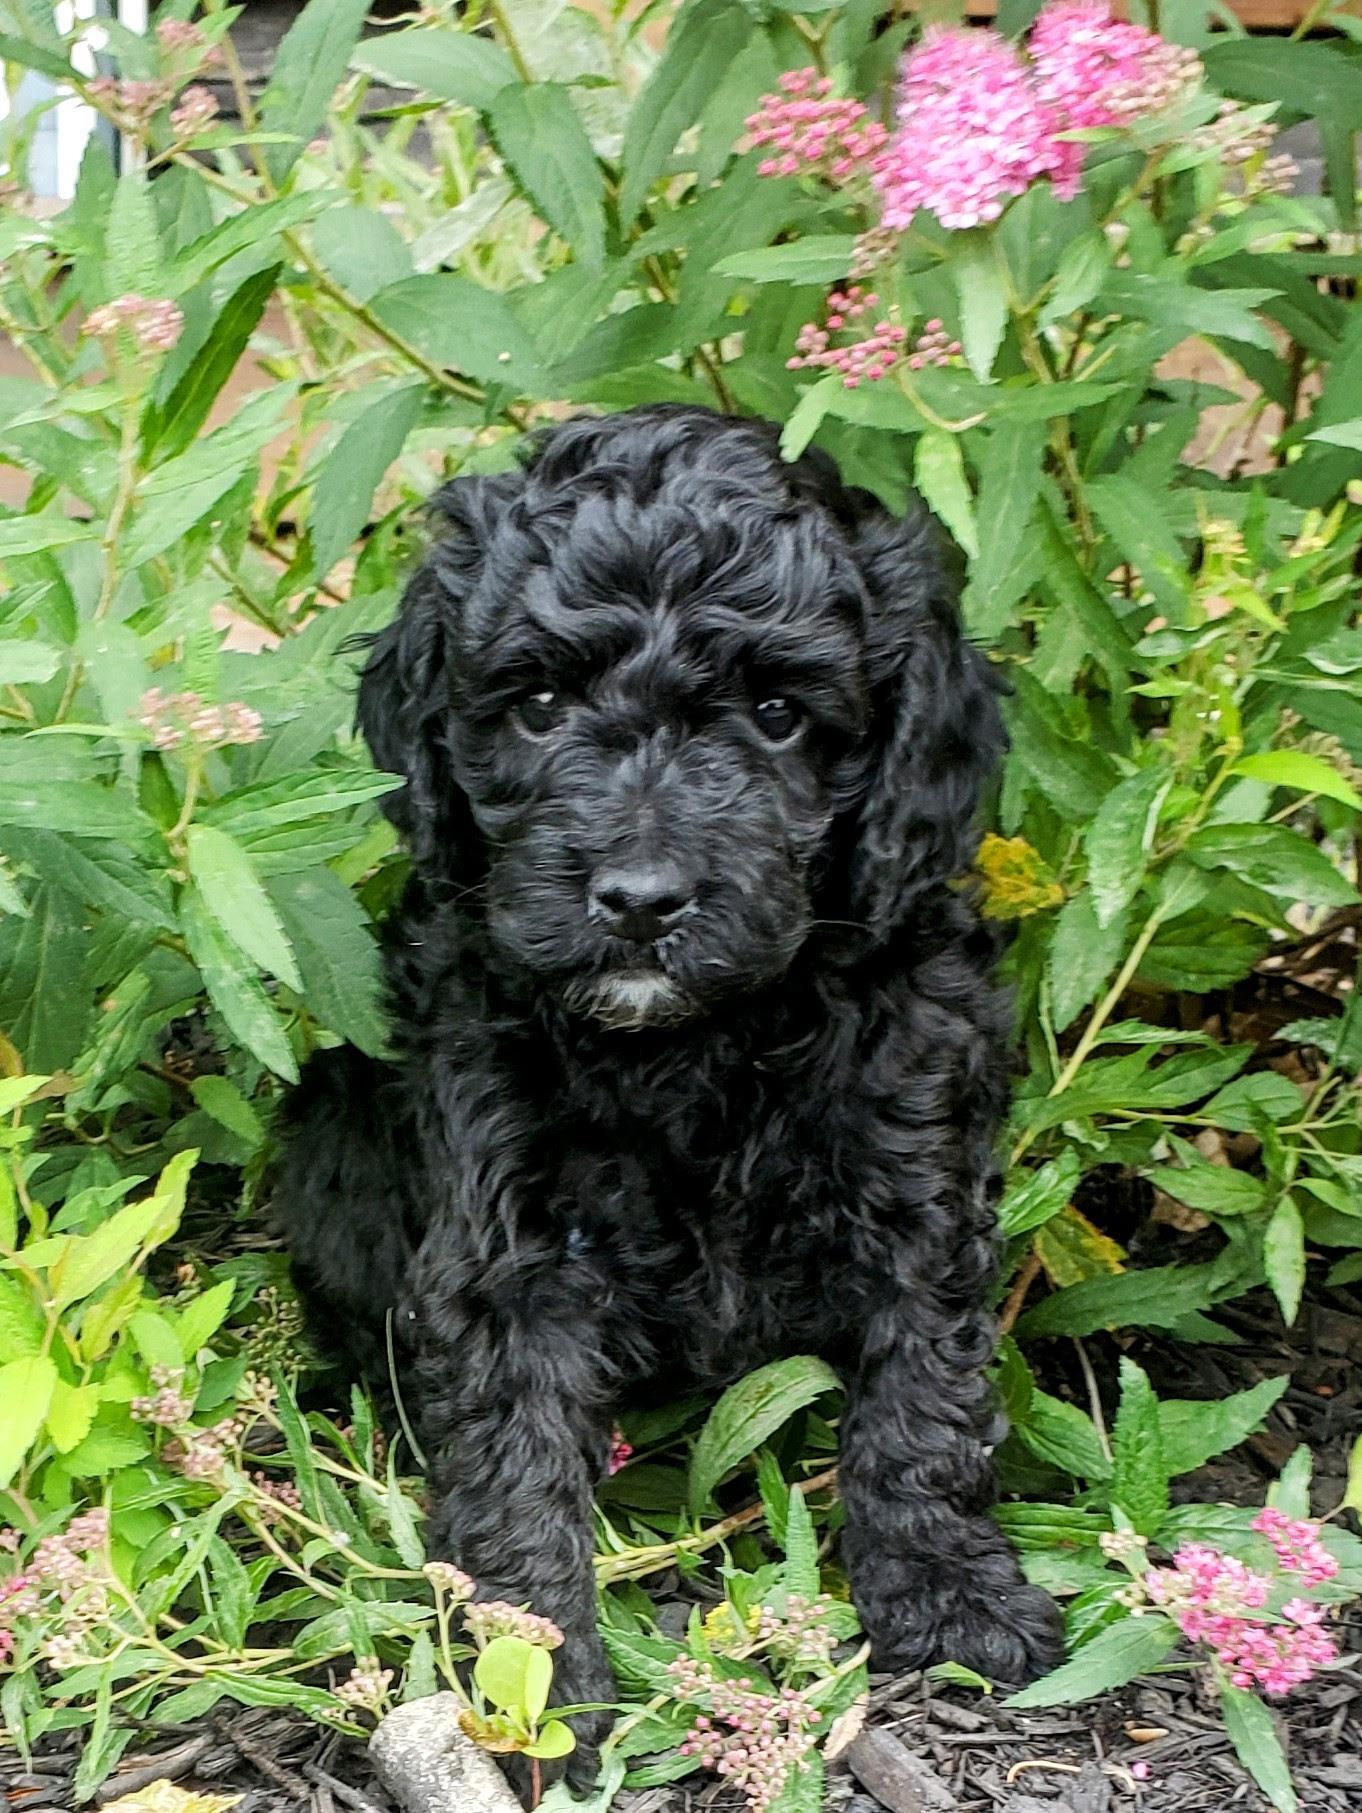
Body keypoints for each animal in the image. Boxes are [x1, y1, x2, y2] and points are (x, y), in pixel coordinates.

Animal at [274, 403, 1063, 1777]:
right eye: (537, 705)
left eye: (779, 714)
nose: (640, 900)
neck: (693, 1044)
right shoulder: (505, 1229)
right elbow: (515, 1451)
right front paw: (533, 1682)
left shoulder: (915, 1155)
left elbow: (923, 1391)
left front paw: (949, 1589)